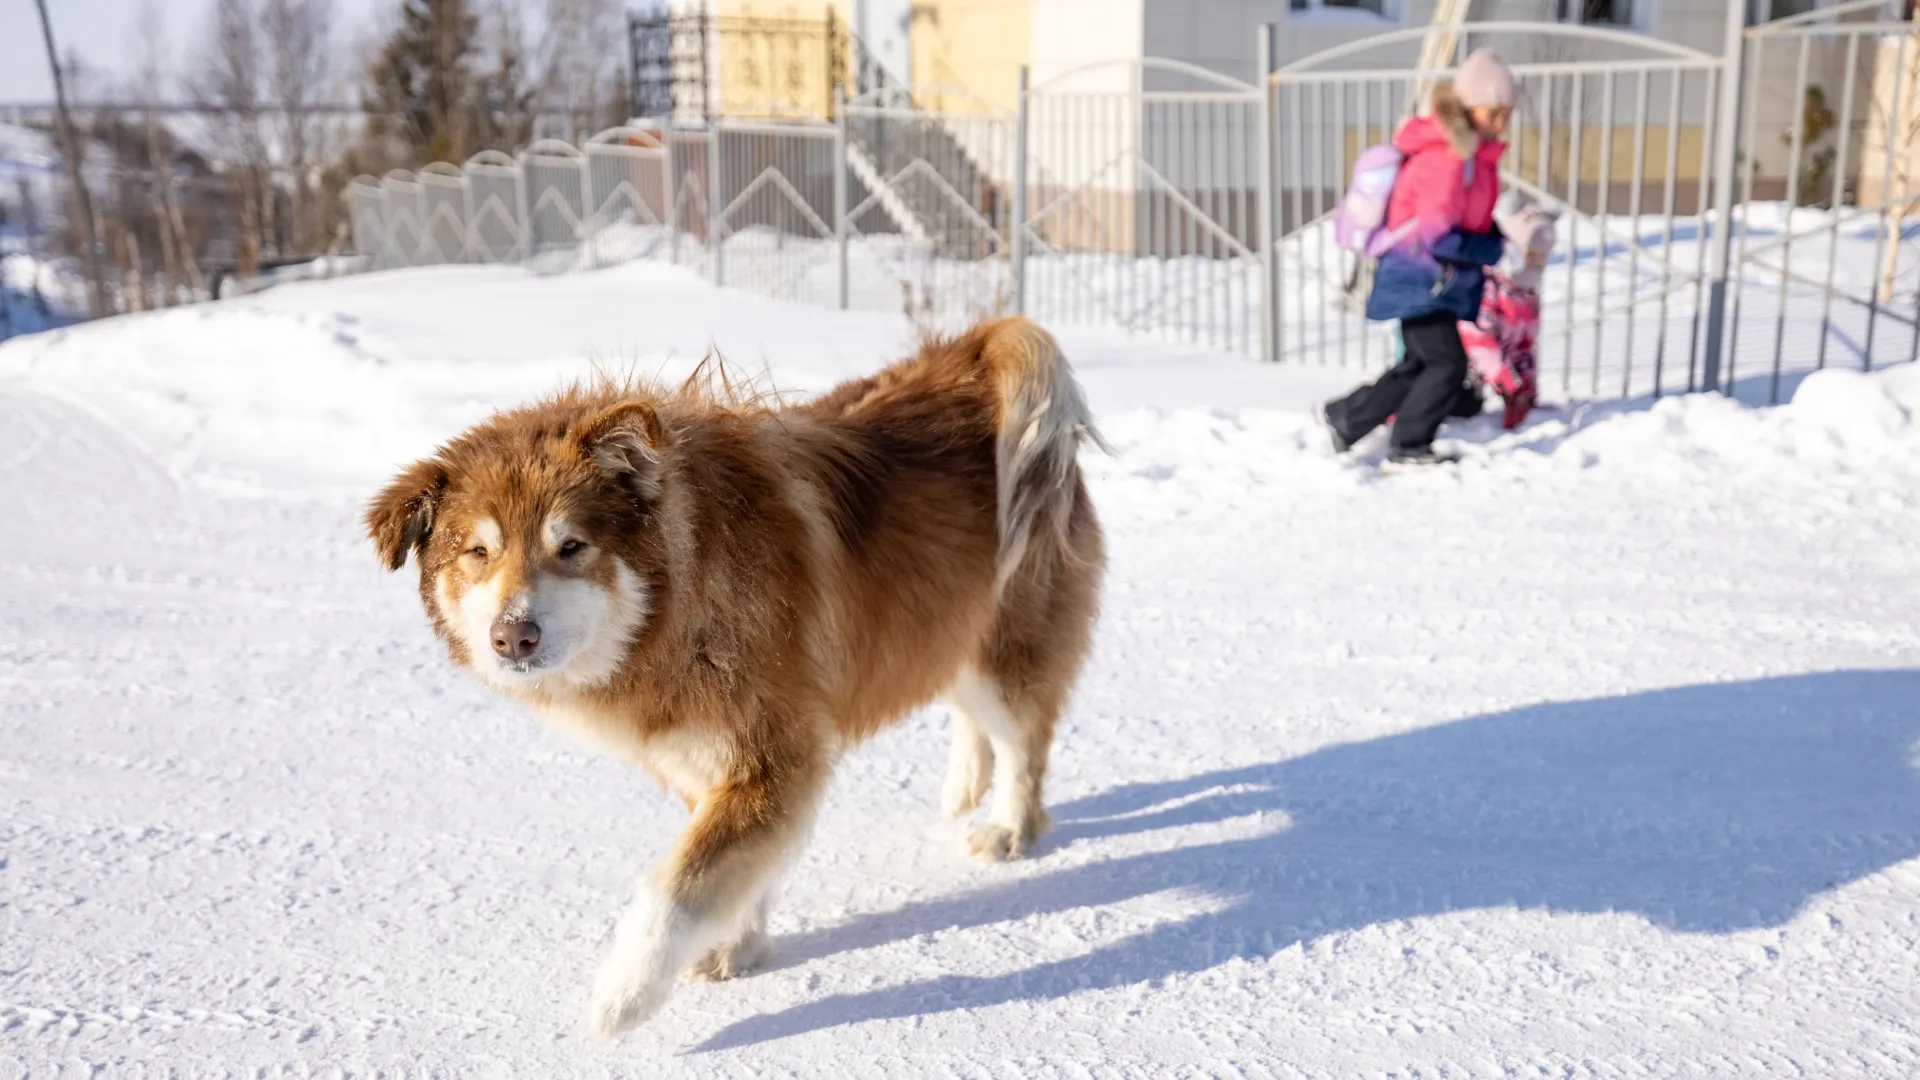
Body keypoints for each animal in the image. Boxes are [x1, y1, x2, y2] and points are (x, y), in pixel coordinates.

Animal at [364, 313, 1105, 1037]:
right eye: (477, 553)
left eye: (571, 547)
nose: (513, 635)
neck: (682, 603)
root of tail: (982, 348)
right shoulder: (715, 764)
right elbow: (743, 868)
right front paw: (737, 947)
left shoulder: (776, 752)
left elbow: (680, 887)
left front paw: (624, 996)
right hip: (941, 628)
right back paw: (963, 784)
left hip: (1005, 649)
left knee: (1022, 744)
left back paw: (1008, 827)